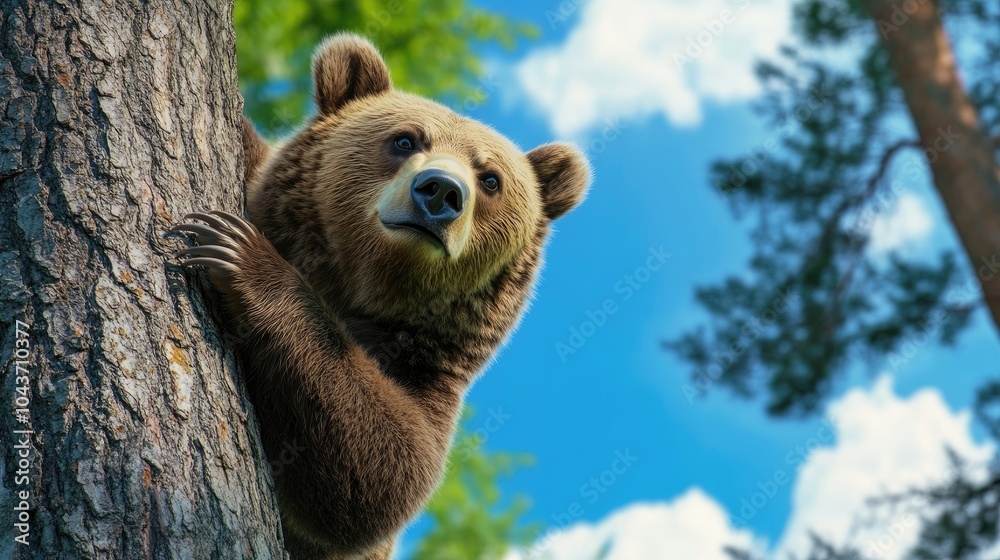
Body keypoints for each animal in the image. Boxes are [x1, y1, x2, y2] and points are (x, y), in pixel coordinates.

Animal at [172, 33, 590, 560]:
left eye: (491, 178)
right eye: (406, 139)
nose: (440, 192)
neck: (364, 285)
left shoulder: (427, 376)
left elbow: (380, 476)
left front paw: (238, 250)